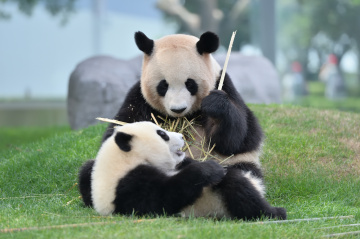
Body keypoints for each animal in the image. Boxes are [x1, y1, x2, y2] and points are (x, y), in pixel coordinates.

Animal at [79, 122, 286, 219]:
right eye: (162, 134)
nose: (181, 136)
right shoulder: (128, 186)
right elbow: (164, 197)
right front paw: (210, 169)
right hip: (214, 203)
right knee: (236, 188)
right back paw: (274, 212)